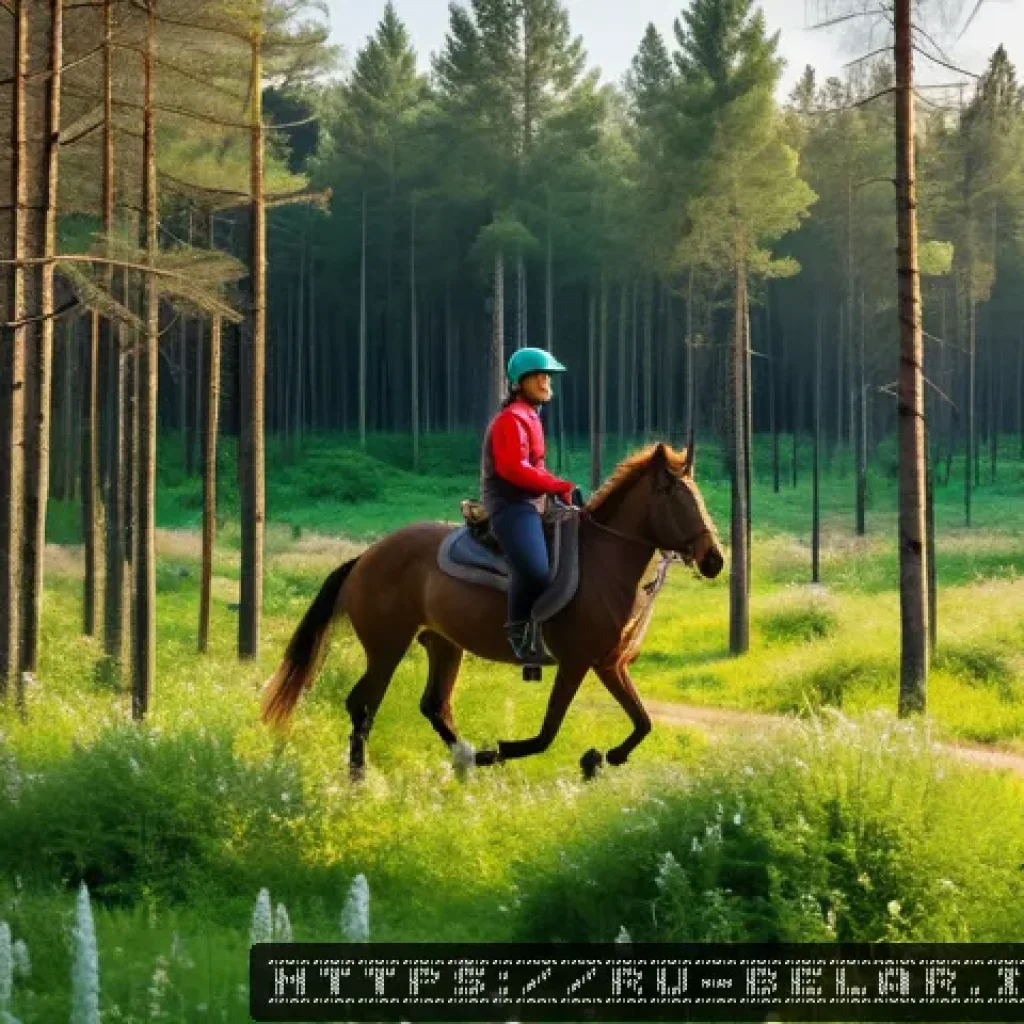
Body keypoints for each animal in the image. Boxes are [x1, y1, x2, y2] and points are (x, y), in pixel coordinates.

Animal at [261, 441, 725, 779]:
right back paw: (361, 779)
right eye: (674, 497)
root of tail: (365, 558)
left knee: (434, 705)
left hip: (443, 644)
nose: (714, 559)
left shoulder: (609, 663)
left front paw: (607, 757)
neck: (601, 562)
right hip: (387, 646)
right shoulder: (578, 662)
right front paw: (528, 752)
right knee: (364, 705)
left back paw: (465, 757)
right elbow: (547, 733)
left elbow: (642, 721)